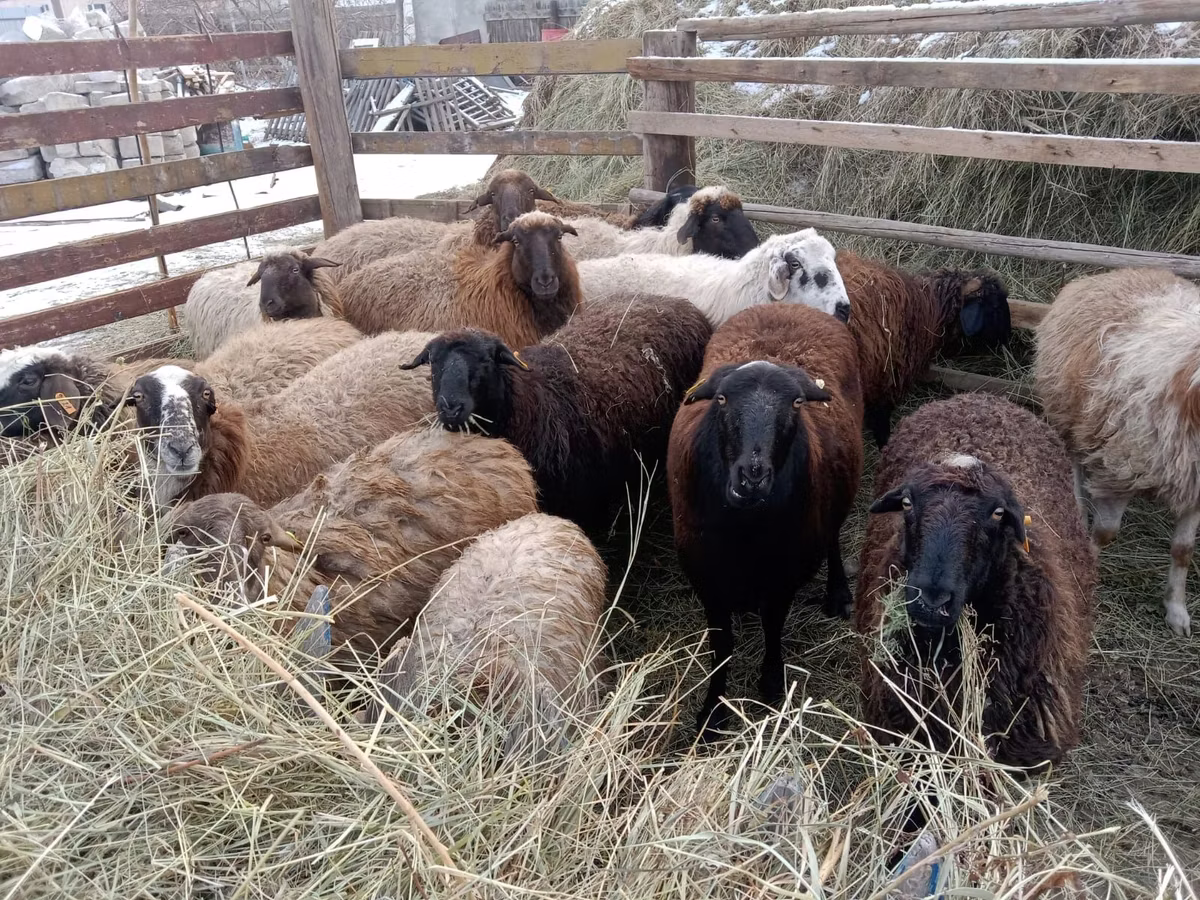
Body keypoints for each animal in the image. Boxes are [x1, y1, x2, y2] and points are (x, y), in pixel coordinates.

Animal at [403, 293, 713, 529]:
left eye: (486, 360)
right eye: (432, 363)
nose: (451, 407)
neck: (530, 401)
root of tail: (673, 300)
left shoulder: (583, 500)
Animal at [667, 302, 864, 741]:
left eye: (795, 404)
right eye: (722, 399)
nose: (752, 474)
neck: (745, 531)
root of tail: (789, 304)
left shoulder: (782, 574)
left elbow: (773, 628)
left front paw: (772, 685)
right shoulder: (706, 577)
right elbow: (722, 647)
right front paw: (712, 712)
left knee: (834, 537)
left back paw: (838, 592)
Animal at [1034, 267, 1200, 637]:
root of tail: (1114, 273)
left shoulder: (1194, 485)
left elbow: (1183, 550)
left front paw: (1177, 610)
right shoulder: (1118, 469)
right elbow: (1106, 533)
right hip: (1073, 416)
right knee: (1073, 464)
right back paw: (1078, 507)